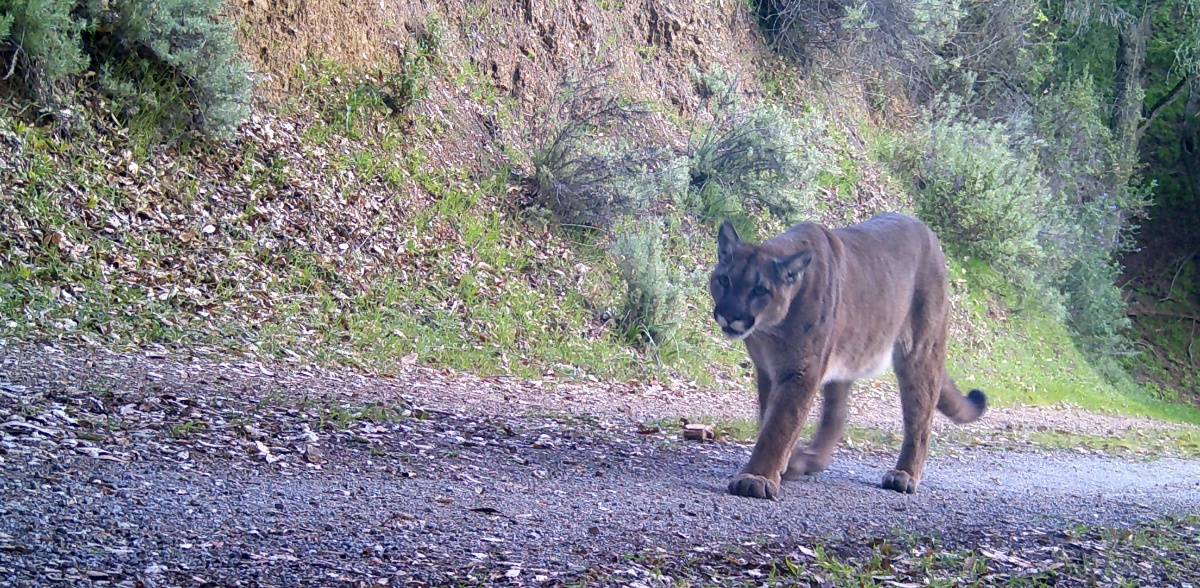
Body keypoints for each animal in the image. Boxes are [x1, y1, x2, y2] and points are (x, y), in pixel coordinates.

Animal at [710, 211, 984, 496]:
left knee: (920, 417)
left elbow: (780, 424)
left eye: (759, 290)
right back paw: (809, 460)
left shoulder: (801, 370)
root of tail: (926, 229)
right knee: (836, 414)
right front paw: (786, 465)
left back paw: (904, 475)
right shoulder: (768, 370)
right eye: (724, 280)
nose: (729, 314)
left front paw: (757, 477)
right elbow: (770, 415)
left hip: (920, 352)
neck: (770, 331)